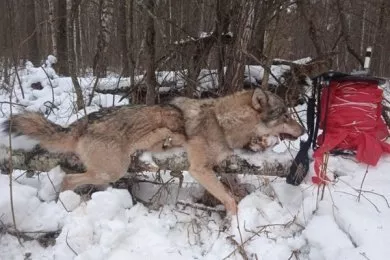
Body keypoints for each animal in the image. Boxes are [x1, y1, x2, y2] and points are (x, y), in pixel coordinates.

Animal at [4, 88, 306, 214]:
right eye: (285, 115)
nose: (304, 130)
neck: (222, 122)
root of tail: (82, 122)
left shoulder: (218, 166)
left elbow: (232, 186)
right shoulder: (199, 169)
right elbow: (230, 200)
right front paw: (235, 220)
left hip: (108, 173)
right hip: (113, 171)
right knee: (68, 179)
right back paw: (65, 204)